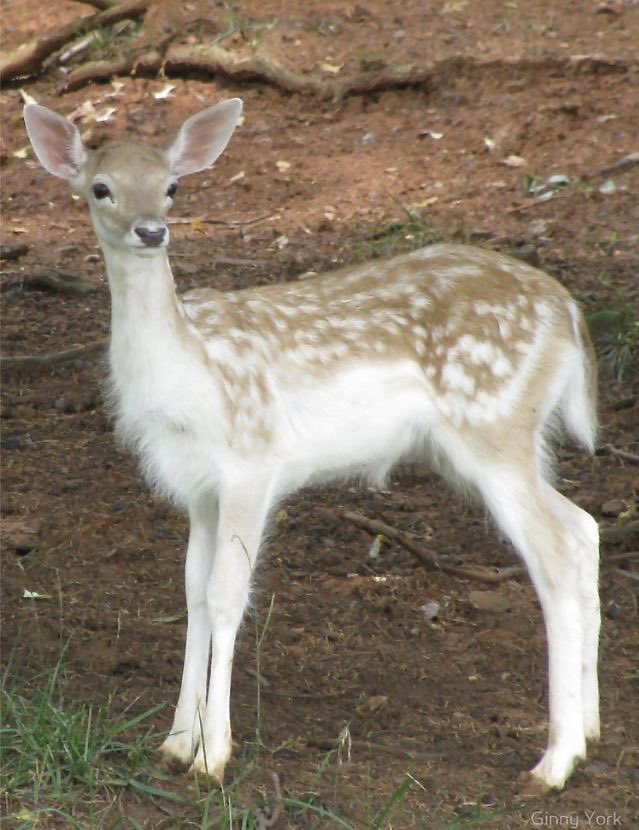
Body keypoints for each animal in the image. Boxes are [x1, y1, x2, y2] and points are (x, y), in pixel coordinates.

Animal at [23, 98, 600, 793]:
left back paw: (555, 760)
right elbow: (191, 592)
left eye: (172, 186)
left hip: (493, 422)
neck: (188, 373)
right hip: (502, 441)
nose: (152, 230)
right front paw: (176, 742)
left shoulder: (252, 460)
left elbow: (227, 595)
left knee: (554, 555)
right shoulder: (195, 484)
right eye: (101, 188)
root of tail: (568, 310)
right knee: (584, 526)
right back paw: (590, 732)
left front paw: (214, 755)